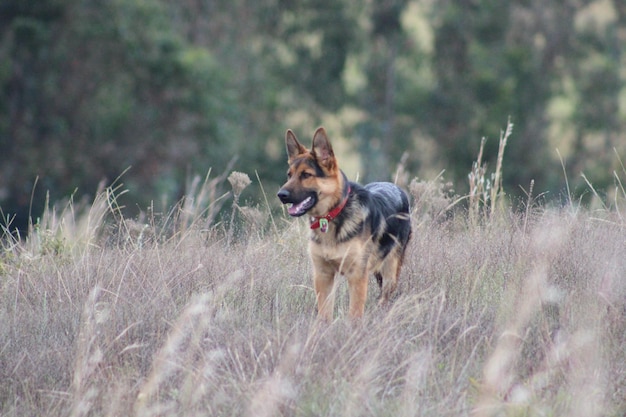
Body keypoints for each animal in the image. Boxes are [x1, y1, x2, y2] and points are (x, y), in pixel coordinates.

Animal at [276, 126, 410, 318]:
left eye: (306, 175)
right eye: (289, 175)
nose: (281, 195)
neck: (331, 216)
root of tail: (397, 187)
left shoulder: (357, 276)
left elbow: (354, 315)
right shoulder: (323, 275)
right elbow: (324, 315)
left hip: (390, 272)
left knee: (385, 298)